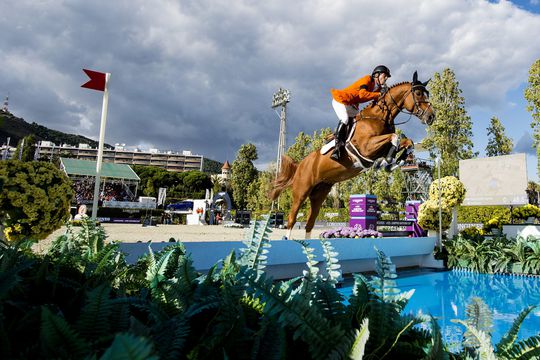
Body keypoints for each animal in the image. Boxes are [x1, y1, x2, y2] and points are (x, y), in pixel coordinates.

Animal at [268, 70, 434, 239]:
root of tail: (300, 164)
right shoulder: (367, 147)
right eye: (418, 93)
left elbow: (407, 141)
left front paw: (394, 162)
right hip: (301, 191)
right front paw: (388, 161)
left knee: (310, 222)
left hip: (319, 193)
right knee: (292, 218)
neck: (379, 116)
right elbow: (394, 137)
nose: (431, 117)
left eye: (427, 93)